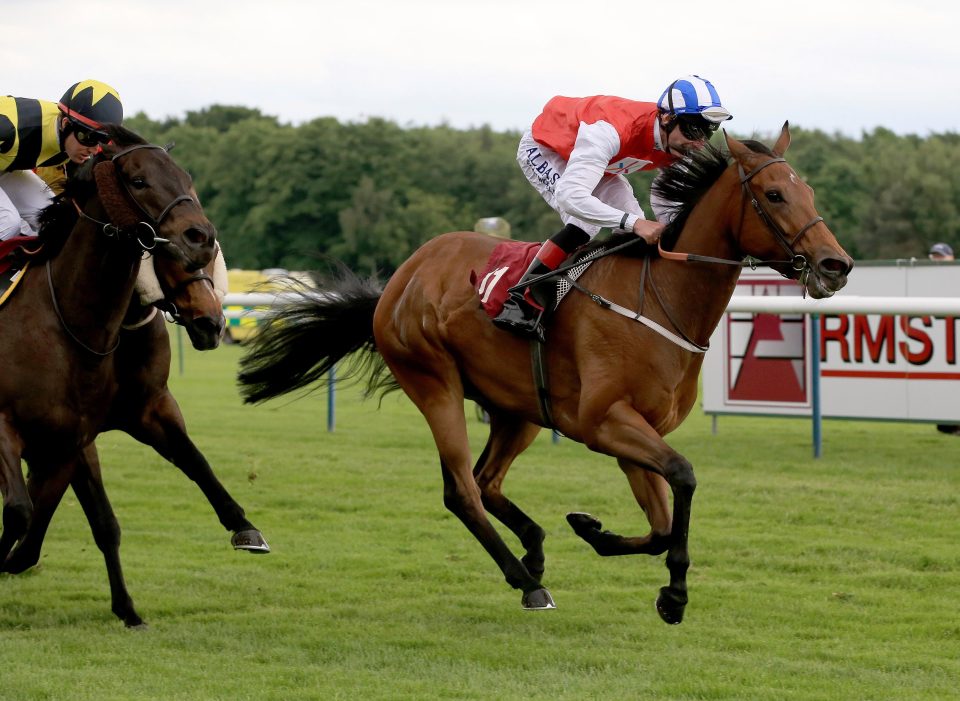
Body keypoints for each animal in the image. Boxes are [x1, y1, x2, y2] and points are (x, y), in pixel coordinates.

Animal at [0, 126, 240, 624]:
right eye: (138, 180)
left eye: (187, 179)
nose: (201, 236)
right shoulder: (12, 428)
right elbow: (19, 512)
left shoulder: (99, 428)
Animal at [236, 126, 852, 624]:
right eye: (774, 194)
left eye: (809, 192)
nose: (836, 265)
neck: (659, 299)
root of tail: (399, 280)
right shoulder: (604, 423)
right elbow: (684, 476)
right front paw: (674, 595)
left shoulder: (634, 431)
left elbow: (658, 524)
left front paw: (596, 532)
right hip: (433, 382)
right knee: (462, 490)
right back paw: (526, 581)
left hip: (519, 408)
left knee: (486, 480)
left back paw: (533, 548)